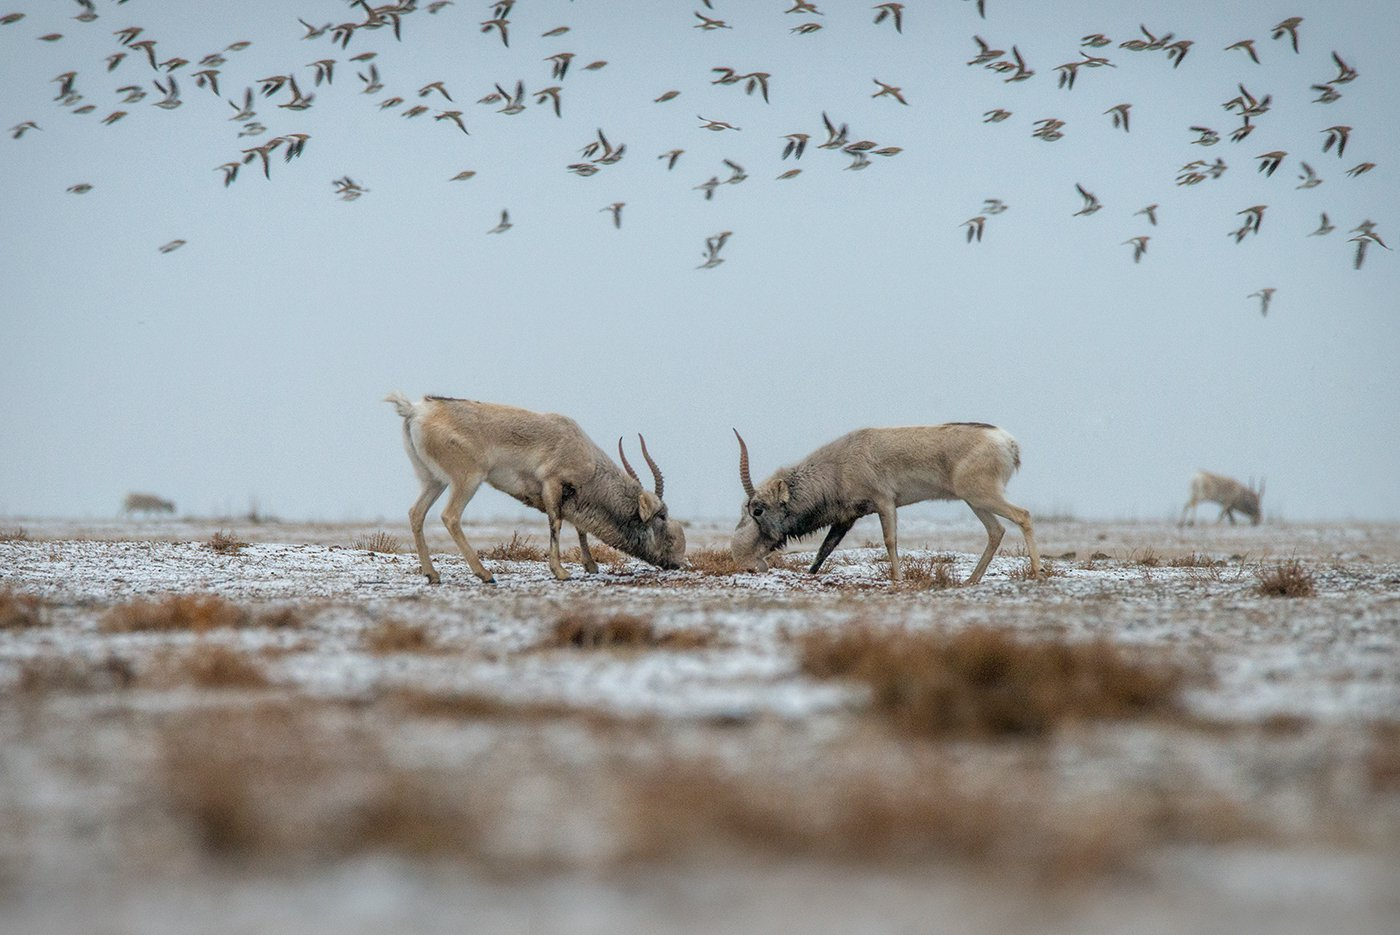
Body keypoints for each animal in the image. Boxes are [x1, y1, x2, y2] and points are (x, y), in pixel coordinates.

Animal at [386, 394, 686, 585]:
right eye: (661, 516)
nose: (677, 562)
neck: (583, 452)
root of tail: (415, 410)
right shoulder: (553, 484)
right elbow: (556, 522)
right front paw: (561, 572)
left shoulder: (571, 495)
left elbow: (579, 527)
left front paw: (590, 566)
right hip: (467, 480)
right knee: (450, 517)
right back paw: (485, 574)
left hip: (433, 481)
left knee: (416, 514)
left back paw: (432, 575)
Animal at [733, 422, 1041, 585]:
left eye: (757, 509)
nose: (743, 560)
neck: (838, 465)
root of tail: (1008, 443)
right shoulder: (846, 518)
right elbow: (824, 550)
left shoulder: (885, 502)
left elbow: (889, 539)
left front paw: (898, 578)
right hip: (975, 501)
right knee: (996, 531)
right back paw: (971, 580)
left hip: (981, 496)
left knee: (1023, 515)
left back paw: (1037, 573)